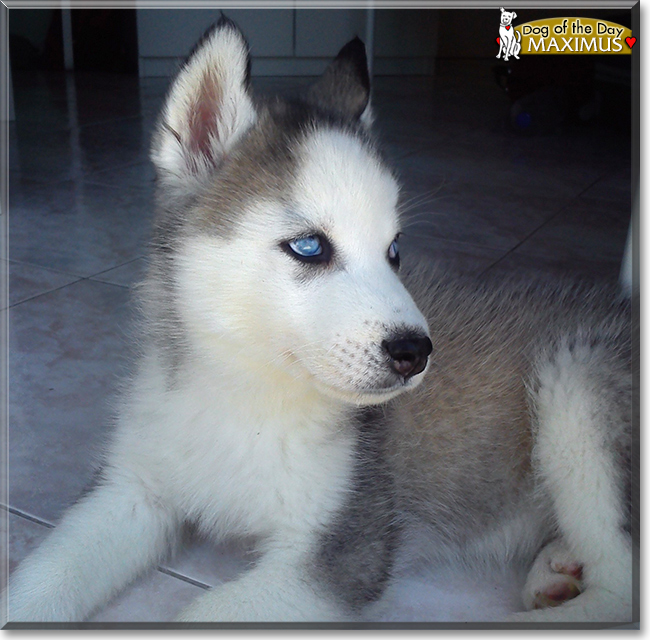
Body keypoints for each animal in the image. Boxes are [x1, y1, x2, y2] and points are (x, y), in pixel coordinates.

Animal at [7, 17, 632, 624]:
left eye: (394, 250)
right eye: (309, 246)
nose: (416, 352)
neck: (245, 395)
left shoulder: (340, 553)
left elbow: (204, 612)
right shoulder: (131, 492)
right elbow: (42, 581)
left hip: (575, 382)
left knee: (621, 590)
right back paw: (558, 566)